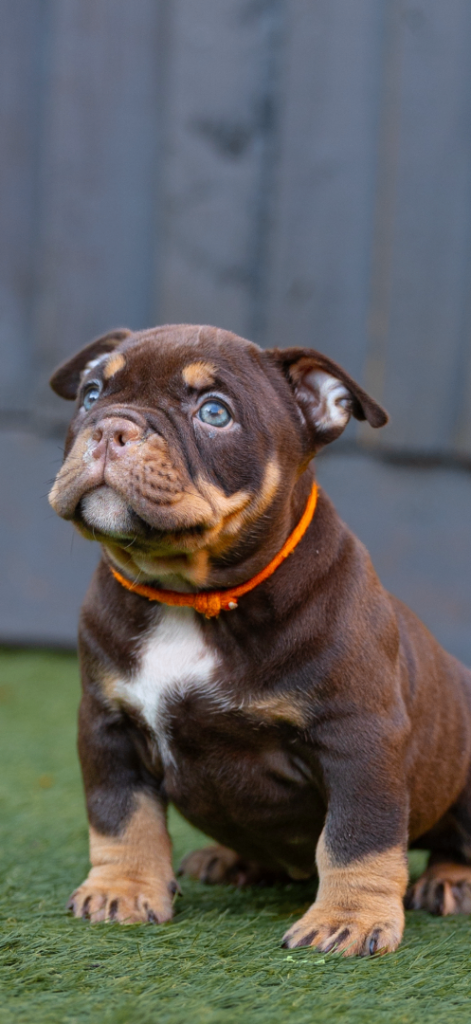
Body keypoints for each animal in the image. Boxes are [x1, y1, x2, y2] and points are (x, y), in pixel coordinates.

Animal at [48, 323, 471, 956]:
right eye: (92, 394)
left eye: (214, 412)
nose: (110, 427)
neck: (189, 597)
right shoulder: (108, 724)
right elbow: (120, 813)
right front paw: (122, 889)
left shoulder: (357, 736)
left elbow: (358, 835)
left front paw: (348, 919)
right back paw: (229, 859)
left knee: (454, 840)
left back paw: (449, 880)